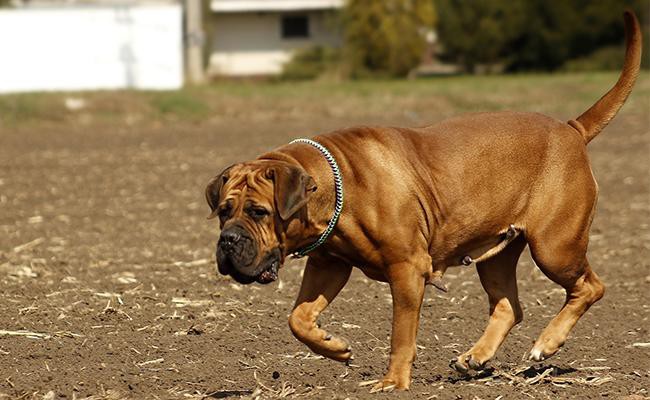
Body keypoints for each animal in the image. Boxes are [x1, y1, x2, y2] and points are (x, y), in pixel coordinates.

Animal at [206, 11, 636, 390]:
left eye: (259, 212)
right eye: (223, 211)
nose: (228, 240)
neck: (334, 186)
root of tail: (571, 129)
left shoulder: (407, 269)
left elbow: (401, 334)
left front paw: (393, 382)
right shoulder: (329, 264)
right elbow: (298, 317)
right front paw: (335, 347)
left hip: (554, 247)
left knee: (590, 287)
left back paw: (546, 343)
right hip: (498, 256)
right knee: (508, 306)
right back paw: (474, 357)